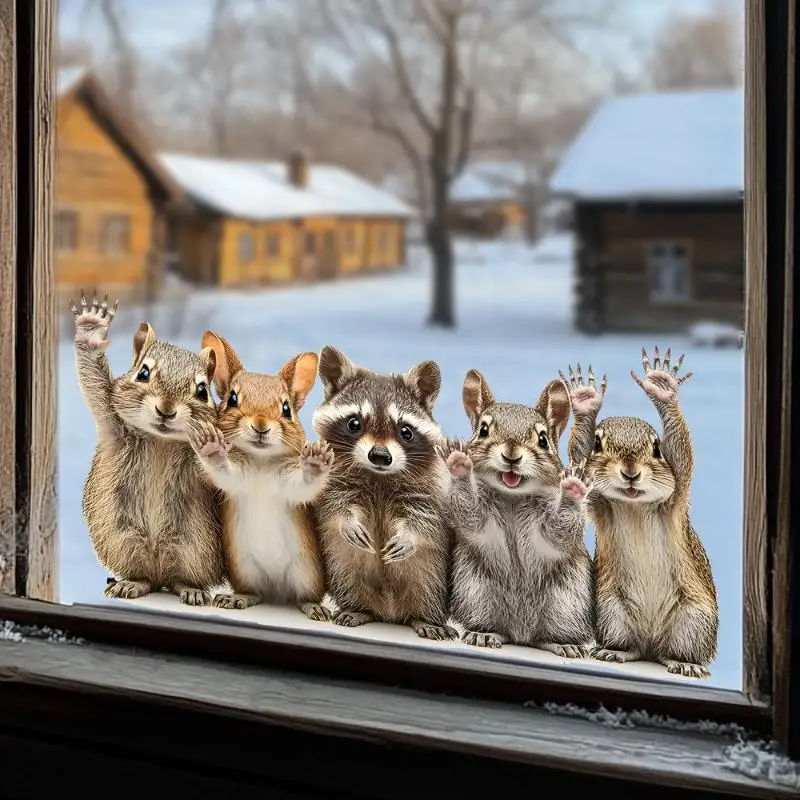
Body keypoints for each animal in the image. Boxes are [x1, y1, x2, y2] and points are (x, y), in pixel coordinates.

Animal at [71, 292, 224, 605]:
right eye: (143, 373)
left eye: (203, 391)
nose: (166, 410)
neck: (161, 440)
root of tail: (158, 568)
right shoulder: (112, 424)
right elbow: (95, 385)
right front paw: (92, 328)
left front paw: (212, 446)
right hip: (122, 540)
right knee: (144, 576)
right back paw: (132, 584)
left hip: (194, 549)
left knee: (179, 578)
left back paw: (190, 589)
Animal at [188, 331, 332, 621]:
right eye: (232, 399)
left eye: (287, 409)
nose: (261, 425)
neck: (261, 462)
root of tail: (277, 593)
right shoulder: (237, 479)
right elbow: (223, 471)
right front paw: (211, 447)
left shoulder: (288, 484)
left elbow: (303, 485)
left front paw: (316, 461)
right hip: (244, 570)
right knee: (255, 593)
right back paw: (238, 598)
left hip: (307, 574)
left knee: (305, 597)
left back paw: (314, 607)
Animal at [311, 346, 455, 641]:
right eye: (354, 423)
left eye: (405, 431)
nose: (379, 456)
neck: (378, 476)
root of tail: (390, 612)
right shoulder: (332, 481)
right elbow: (333, 505)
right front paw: (346, 521)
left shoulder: (430, 489)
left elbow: (425, 519)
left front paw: (409, 536)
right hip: (343, 570)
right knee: (348, 575)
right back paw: (358, 609)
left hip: (432, 578)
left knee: (427, 589)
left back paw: (425, 618)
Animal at [444, 370, 595, 657]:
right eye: (483, 429)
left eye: (543, 439)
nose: (511, 455)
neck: (513, 497)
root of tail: (520, 634)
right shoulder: (479, 516)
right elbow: (469, 513)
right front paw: (459, 463)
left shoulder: (550, 526)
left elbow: (560, 531)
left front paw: (573, 487)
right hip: (475, 593)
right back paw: (484, 633)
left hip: (566, 604)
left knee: (548, 635)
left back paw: (563, 643)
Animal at [562, 349, 719, 678]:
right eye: (597, 444)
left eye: (657, 448)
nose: (631, 473)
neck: (634, 505)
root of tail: (651, 640)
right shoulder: (600, 504)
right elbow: (578, 460)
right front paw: (584, 403)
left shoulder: (676, 497)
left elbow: (682, 456)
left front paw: (662, 388)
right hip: (612, 610)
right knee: (632, 646)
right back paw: (617, 651)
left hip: (694, 619)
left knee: (673, 651)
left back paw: (683, 662)